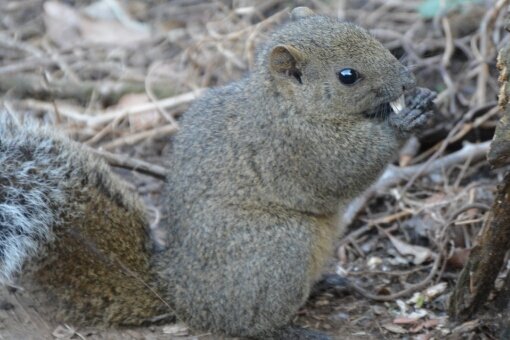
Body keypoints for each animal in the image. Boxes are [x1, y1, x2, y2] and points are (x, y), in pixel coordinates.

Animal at [0, 6, 434, 338]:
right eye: (347, 75)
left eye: (372, 38)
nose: (409, 81)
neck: (286, 104)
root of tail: (182, 293)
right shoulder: (296, 147)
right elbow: (346, 169)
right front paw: (402, 122)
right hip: (280, 246)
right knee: (248, 325)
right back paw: (289, 329)